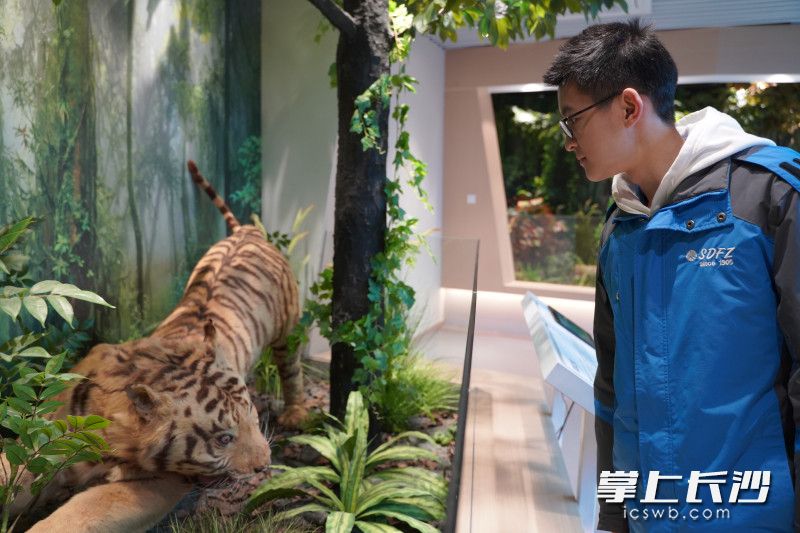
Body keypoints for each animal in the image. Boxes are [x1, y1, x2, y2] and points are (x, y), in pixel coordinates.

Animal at [3, 161, 307, 531]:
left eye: (252, 414)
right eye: (224, 438)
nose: (265, 464)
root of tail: (247, 232)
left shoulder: (155, 482)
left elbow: (80, 516)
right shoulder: (40, 442)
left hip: (288, 329)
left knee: (291, 368)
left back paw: (296, 413)